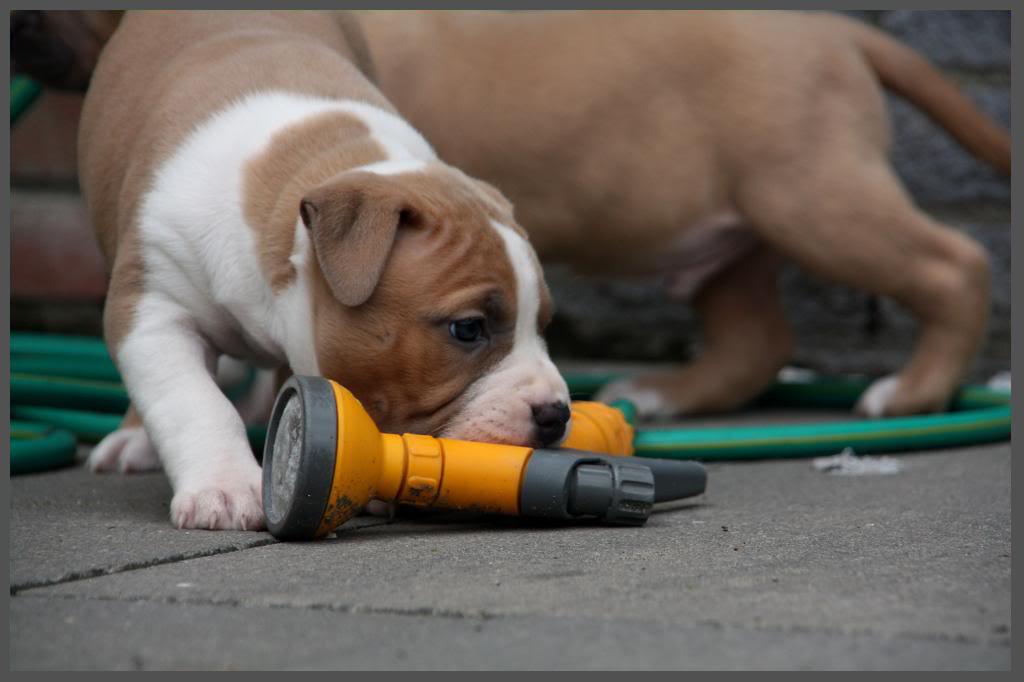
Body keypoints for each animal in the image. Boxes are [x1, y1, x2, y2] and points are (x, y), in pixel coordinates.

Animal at [76, 11, 569, 530]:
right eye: (468, 329)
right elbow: (194, 401)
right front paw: (226, 486)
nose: (557, 414)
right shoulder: (154, 310)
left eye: (542, 325)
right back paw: (134, 440)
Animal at [359, 10, 1009, 420]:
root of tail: (834, 29)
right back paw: (660, 395)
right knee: (755, 341)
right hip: (738, 243)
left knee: (955, 263)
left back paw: (910, 393)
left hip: (816, 198)